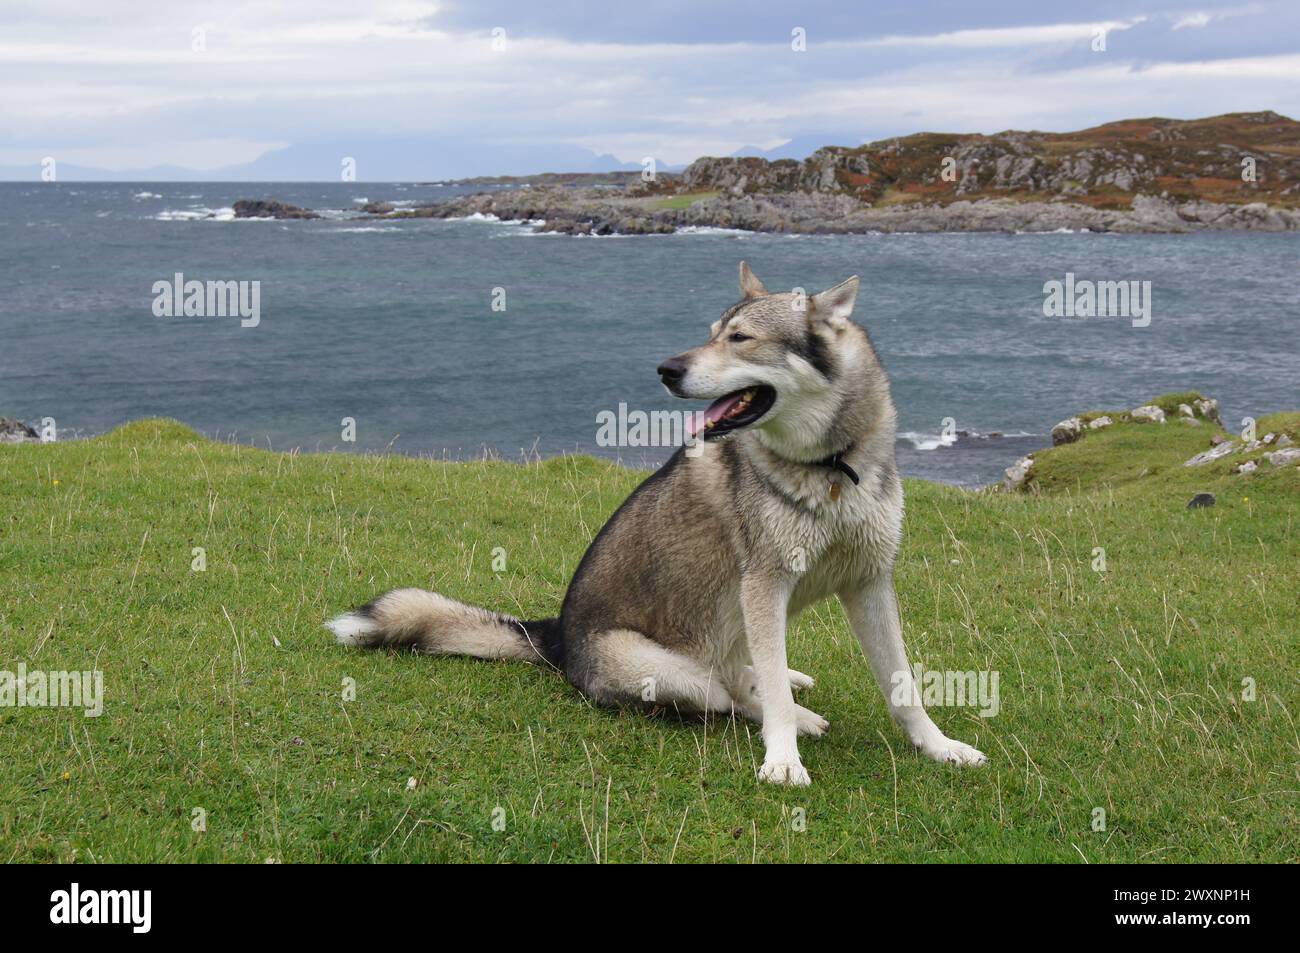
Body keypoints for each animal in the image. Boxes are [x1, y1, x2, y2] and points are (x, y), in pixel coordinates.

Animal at [327, 263, 982, 785]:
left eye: (740, 339)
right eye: (710, 333)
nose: (667, 368)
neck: (831, 468)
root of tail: (554, 638)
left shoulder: (869, 583)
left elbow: (903, 688)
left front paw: (939, 746)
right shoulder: (764, 586)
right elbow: (766, 695)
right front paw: (782, 759)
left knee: (745, 670)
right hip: (679, 673)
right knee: (730, 690)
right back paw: (794, 715)